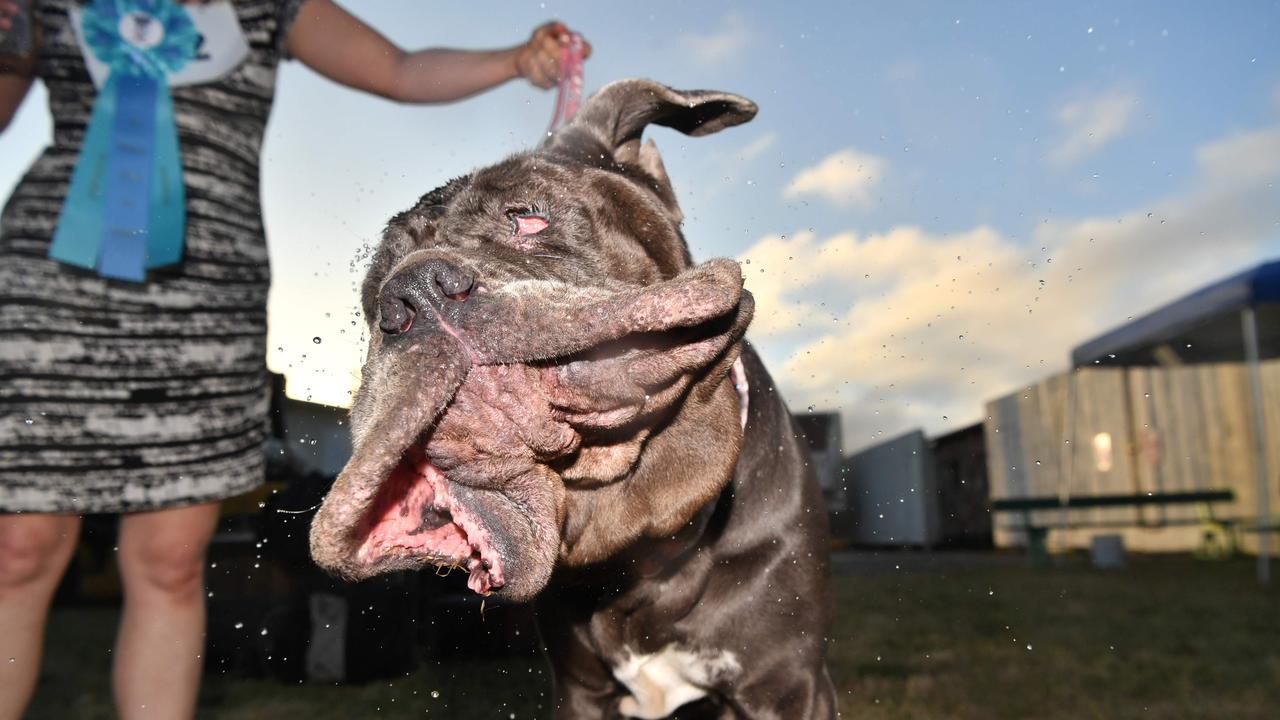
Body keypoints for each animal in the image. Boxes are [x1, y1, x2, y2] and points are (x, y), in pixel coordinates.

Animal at [309, 78, 839, 717]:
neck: (637, 542)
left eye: (529, 219)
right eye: (370, 300)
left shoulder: (789, 686)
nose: (411, 293)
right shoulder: (581, 692)